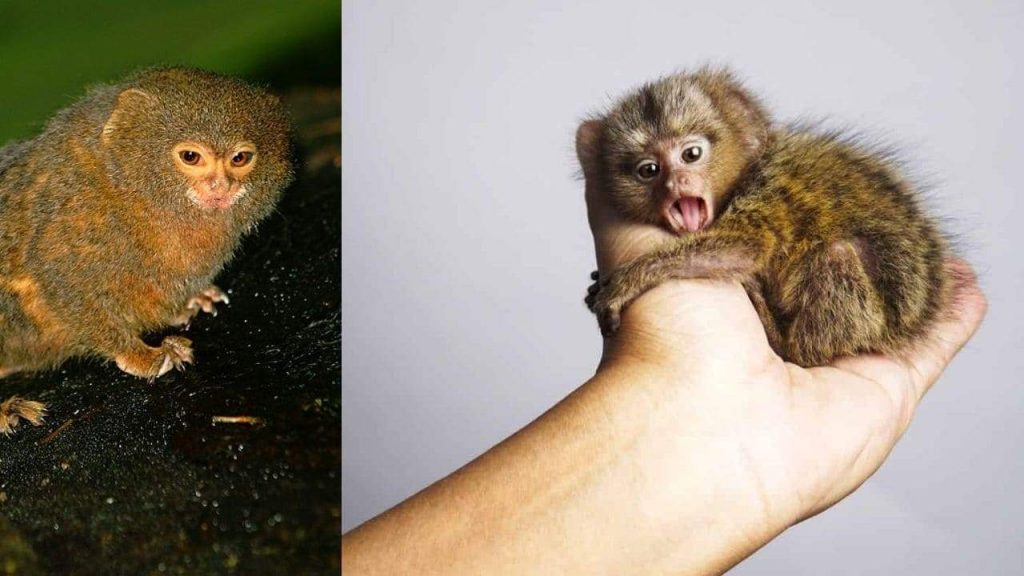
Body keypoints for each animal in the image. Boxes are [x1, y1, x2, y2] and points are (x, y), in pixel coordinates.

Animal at [0, 67, 294, 433]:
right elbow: (60, 283)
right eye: (191, 157)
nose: (221, 186)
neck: (129, 191)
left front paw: (188, 302)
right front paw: (139, 354)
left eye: (240, 158)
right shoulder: (74, 221)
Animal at [579, 67, 948, 367]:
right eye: (649, 171)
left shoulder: (767, 190)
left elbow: (745, 247)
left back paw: (783, 343)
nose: (675, 183)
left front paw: (631, 279)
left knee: (838, 256)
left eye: (691, 154)